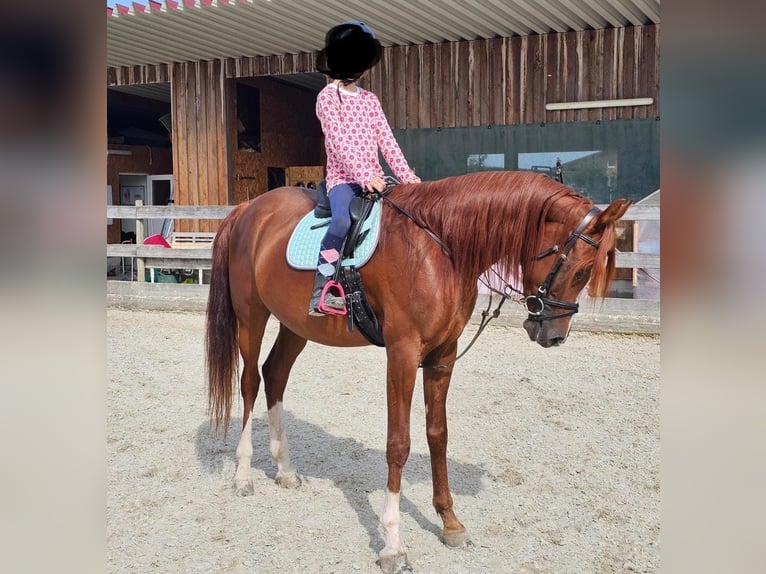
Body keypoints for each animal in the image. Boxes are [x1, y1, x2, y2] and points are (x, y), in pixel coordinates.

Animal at [204, 172, 632, 574]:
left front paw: (450, 523)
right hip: (251, 317)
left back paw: (286, 470)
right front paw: (393, 544)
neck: (440, 249)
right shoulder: (403, 354)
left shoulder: (443, 354)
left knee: (275, 375)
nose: (554, 336)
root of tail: (249, 208)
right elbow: (399, 444)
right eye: (582, 272)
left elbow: (438, 436)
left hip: (296, 325)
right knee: (250, 383)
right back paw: (243, 475)